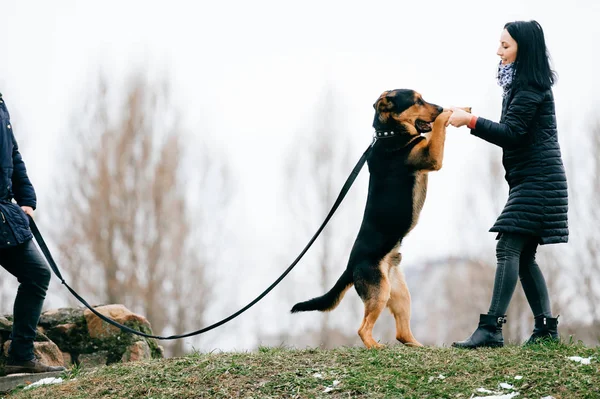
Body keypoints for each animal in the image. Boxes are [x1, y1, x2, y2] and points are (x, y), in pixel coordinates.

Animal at [292, 89, 466, 348]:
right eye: (417, 101)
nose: (440, 107)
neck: (389, 134)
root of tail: (351, 265)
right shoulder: (431, 157)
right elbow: (437, 131)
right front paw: (448, 115)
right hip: (380, 292)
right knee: (363, 329)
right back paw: (376, 346)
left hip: (399, 294)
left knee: (402, 333)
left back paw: (418, 346)